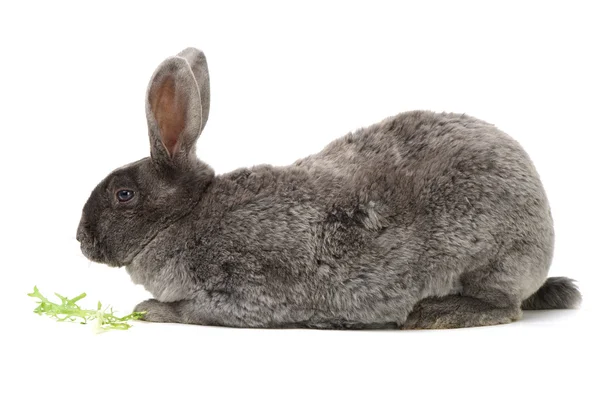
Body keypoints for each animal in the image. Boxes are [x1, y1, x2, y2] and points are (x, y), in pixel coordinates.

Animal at [76, 47, 580, 328]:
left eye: (123, 194)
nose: (80, 239)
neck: (185, 217)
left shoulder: (238, 292)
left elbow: (192, 311)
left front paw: (148, 310)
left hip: (490, 256)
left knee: (504, 307)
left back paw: (437, 314)